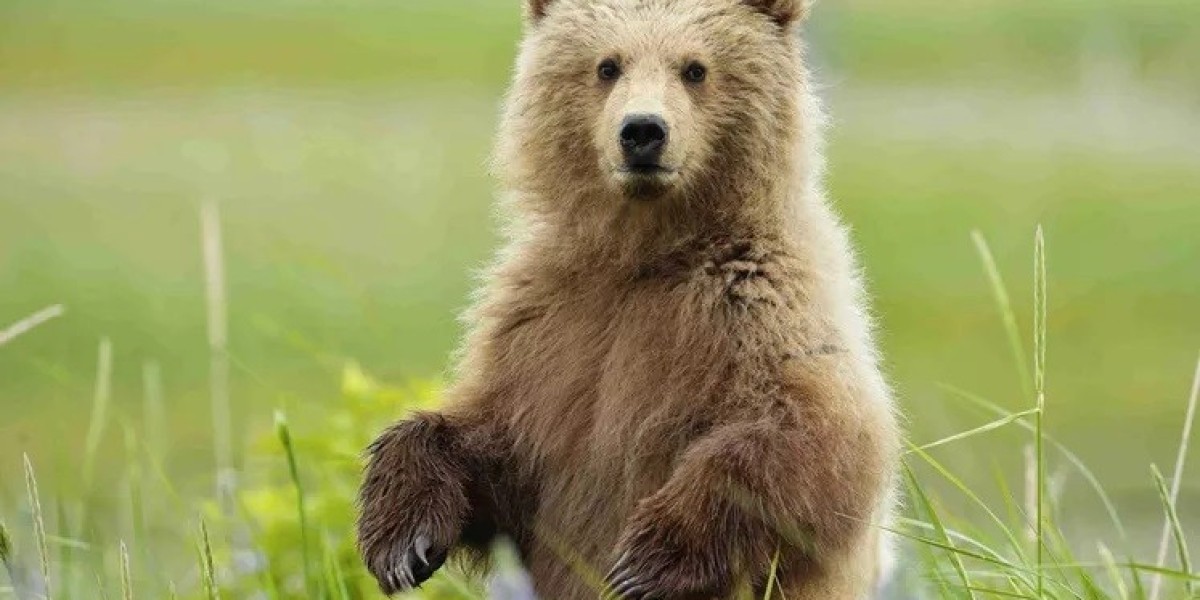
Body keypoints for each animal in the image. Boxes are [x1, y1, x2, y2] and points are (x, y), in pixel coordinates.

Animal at [356, 0, 901, 598]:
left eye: (695, 68)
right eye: (607, 65)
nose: (642, 131)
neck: (642, 253)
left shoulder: (755, 307)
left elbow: (811, 434)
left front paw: (643, 564)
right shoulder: (544, 330)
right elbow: (492, 445)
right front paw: (401, 542)